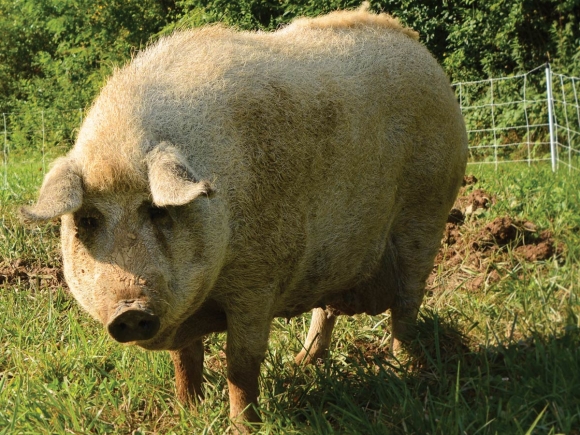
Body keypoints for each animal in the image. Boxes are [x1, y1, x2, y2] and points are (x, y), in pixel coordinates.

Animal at [21, 4, 466, 432]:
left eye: (157, 210)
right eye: (88, 220)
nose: (129, 311)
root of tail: (422, 53)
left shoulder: (258, 280)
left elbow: (241, 363)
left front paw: (242, 426)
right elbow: (185, 358)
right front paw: (188, 412)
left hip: (427, 214)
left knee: (407, 305)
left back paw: (404, 371)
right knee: (327, 312)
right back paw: (302, 364)